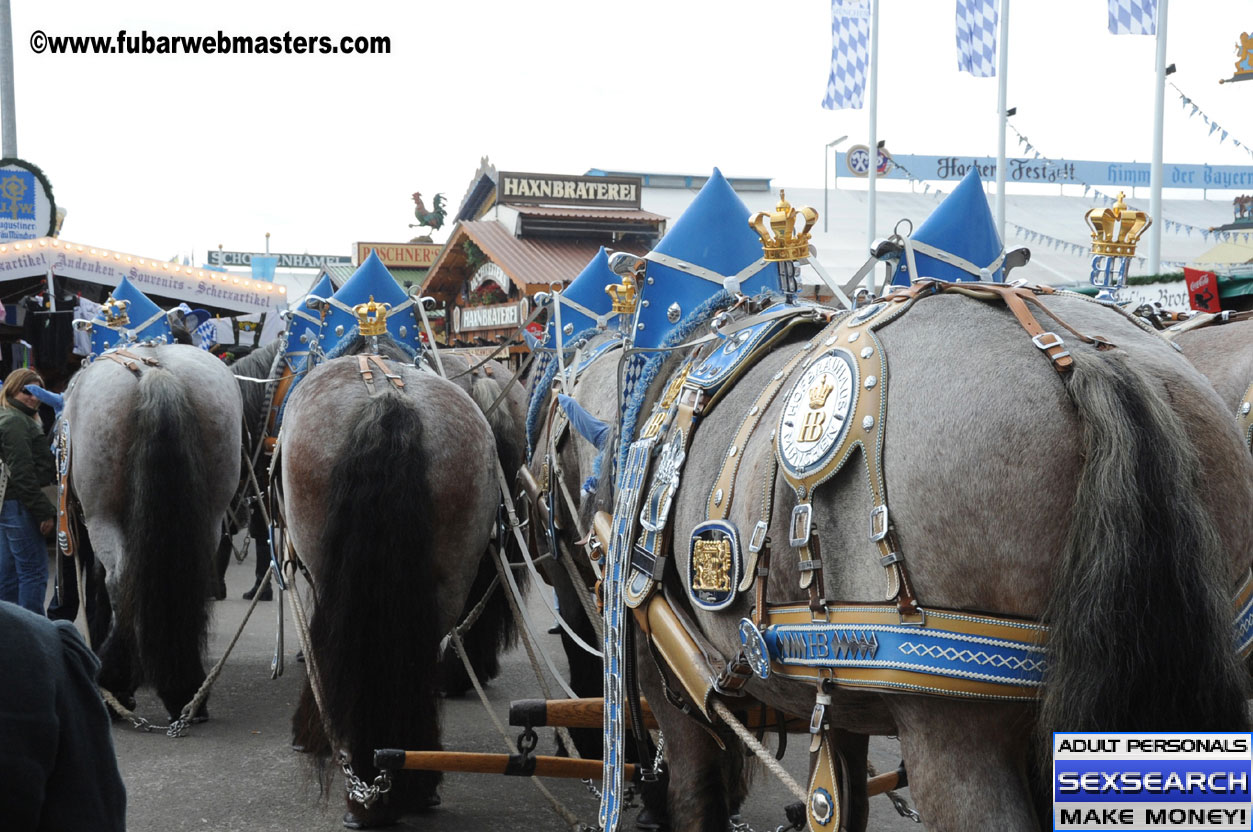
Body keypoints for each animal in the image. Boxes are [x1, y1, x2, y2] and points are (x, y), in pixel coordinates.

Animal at [571, 289, 1253, 826]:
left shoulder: (665, 679)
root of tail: (1074, 355)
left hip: (955, 735)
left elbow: (696, 797)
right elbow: (838, 799)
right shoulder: (834, 698)